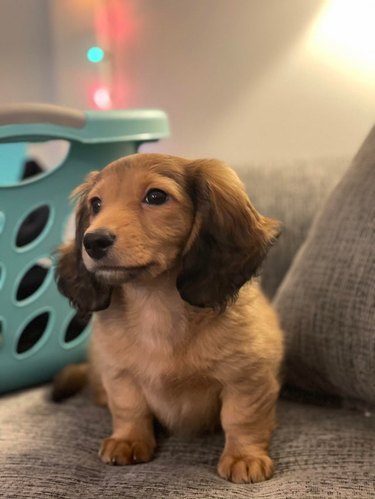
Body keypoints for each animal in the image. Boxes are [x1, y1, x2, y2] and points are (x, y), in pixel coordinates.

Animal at [53, 153, 284, 484]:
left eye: (156, 197)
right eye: (96, 203)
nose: (93, 241)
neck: (156, 303)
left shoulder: (247, 378)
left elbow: (241, 417)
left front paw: (244, 456)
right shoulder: (119, 373)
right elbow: (129, 408)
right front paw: (128, 440)